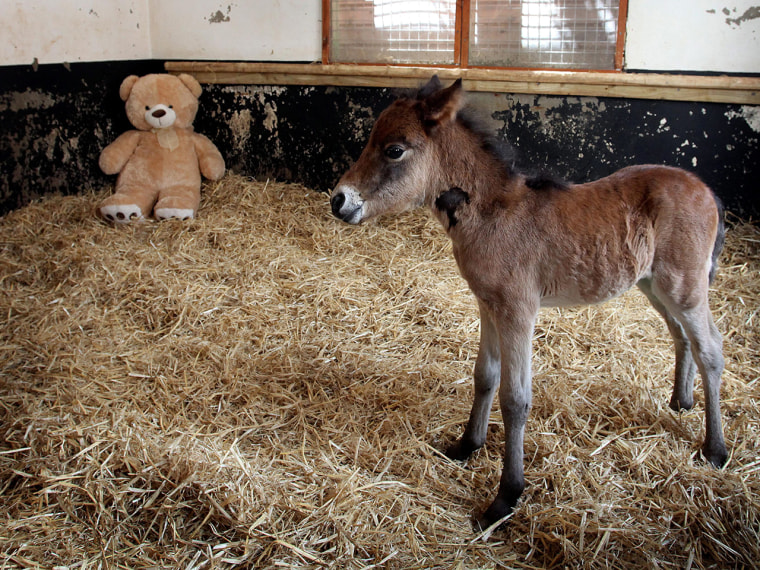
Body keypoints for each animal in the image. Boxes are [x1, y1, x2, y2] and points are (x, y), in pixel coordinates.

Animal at [330, 76, 728, 528]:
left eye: (395, 149)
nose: (339, 200)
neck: (489, 213)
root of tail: (707, 191)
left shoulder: (518, 311)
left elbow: (515, 399)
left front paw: (506, 496)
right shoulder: (487, 304)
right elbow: (485, 376)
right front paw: (467, 445)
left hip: (684, 286)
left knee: (710, 347)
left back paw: (715, 449)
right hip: (653, 284)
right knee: (681, 336)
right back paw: (681, 402)